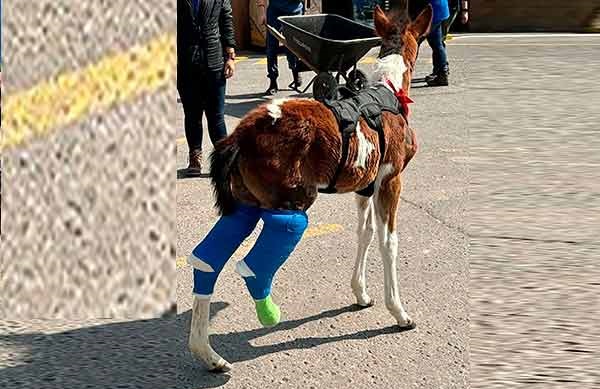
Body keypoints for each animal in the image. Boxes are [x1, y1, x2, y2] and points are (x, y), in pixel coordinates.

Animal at [188, 3, 432, 372]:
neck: (388, 91)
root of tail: (239, 136)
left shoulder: (364, 187)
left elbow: (364, 233)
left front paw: (361, 293)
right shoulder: (390, 182)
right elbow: (388, 242)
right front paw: (399, 312)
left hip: (245, 201)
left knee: (208, 258)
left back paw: (207, 352)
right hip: (291, 199)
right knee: (265, 249)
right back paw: (265, 312)